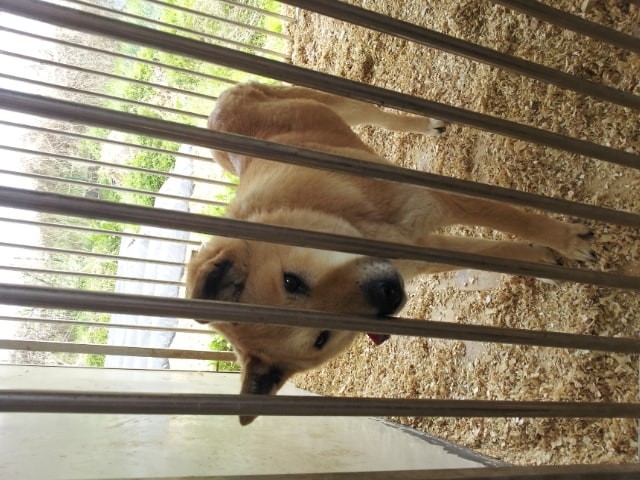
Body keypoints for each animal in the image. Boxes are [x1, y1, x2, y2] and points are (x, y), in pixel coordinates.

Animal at [186, 83, 594, 425]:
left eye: (292, 281)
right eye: (322, 337)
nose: (389, 294)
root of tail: (214, 112)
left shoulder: (437, 199)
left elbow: (518, 218)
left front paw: (567, 239)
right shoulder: (424, 250)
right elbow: (496, 248)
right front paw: (544, 262)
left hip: (335, 105)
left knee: (375, 113)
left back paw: (424, 123)